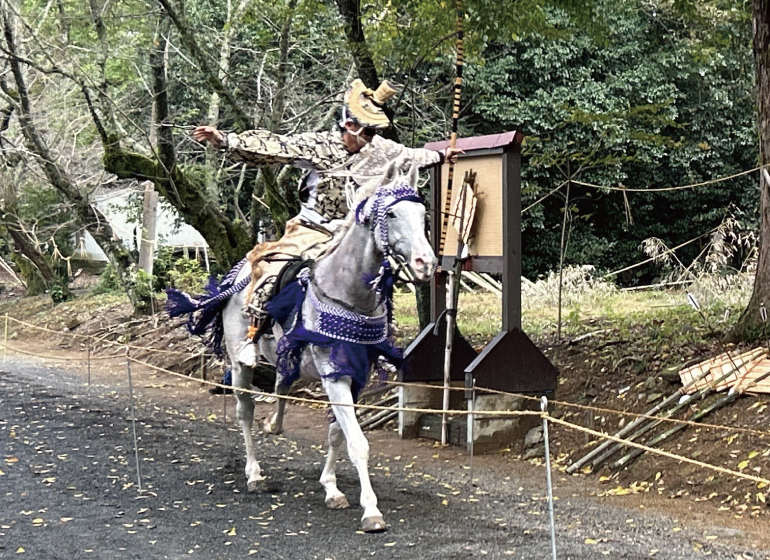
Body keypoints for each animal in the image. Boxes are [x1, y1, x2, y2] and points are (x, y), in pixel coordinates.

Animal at [169, 163, 436, 532]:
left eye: (423, 214)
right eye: (392, 214)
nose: (427, 263)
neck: (349, 292)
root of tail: (234, 278)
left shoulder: (356, 373)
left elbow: (337, 433)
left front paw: (332, 488)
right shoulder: (333, 374)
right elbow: (357, 442)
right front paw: (371, 511)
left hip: (287, 359)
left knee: (281, 385)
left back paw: (274, 424)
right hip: (239, 364)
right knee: (244, 411)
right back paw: (254, 473)